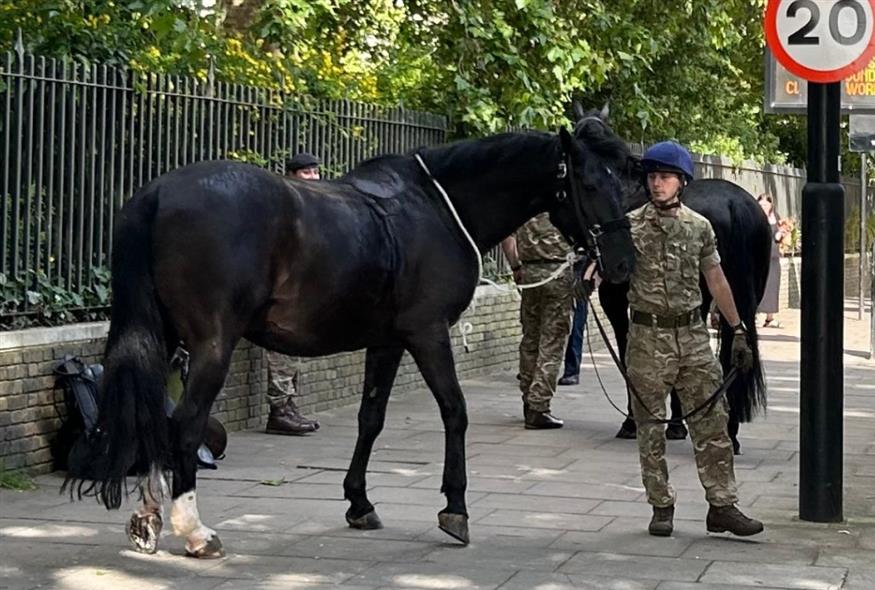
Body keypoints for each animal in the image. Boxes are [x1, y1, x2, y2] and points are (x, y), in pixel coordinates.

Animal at [63, 119, 636, 560]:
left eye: (622, 181)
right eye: (589, 184)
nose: (622, 266)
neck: (438, 207)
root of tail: (157, 194)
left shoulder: (387, 340)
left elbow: (371, 418)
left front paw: (359, 503)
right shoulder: (427, 332)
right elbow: (455, 410)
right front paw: (454, 508)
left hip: (160, 337)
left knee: (152, 417)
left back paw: (148, 518)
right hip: (211, 344)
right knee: (184, 425)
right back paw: (195, 531)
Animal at [592, 179, 768, 454]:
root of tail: (735, 203)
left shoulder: (615, 302)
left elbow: (626, 355)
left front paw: (634, 422)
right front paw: (676, 423)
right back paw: (730, 431)